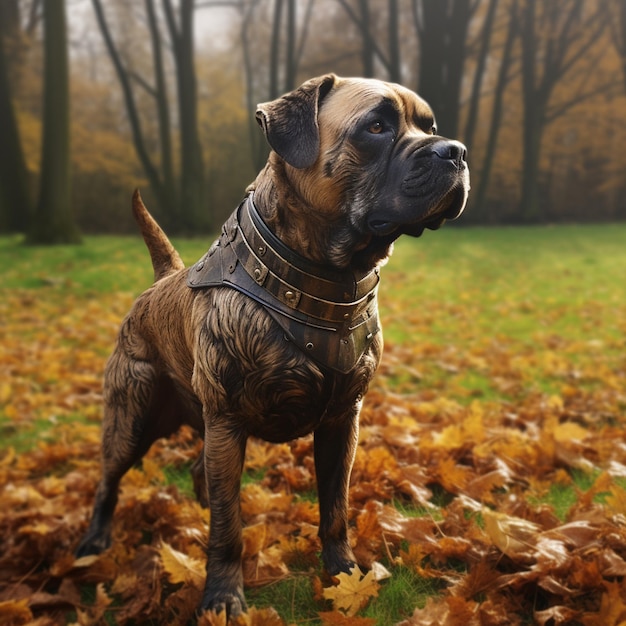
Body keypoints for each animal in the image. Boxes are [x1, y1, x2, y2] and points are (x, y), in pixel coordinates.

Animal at [77, 73, 468, 616]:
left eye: (429, 127)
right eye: (376, 127)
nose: (455, 151)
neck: (326, 279)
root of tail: (159, 282)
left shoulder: (341, 423)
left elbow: (335, 509)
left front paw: (343, 574)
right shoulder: (227, 422)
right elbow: (228, 530)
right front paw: (222, 596)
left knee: (200, 474)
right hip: (131, 419)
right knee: (109, 482)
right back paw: (95, 542)